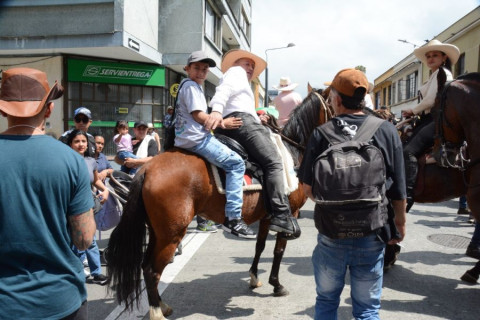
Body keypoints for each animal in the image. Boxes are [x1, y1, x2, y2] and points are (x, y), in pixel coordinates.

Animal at [106, 91, 332, 318]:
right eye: (334, 104)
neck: (292, 152)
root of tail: (147, 169)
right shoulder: (289, 214)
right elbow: (278, 251)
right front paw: (276, 285)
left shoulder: (267, 217)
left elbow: (260, 246)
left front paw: (254, 277)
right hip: (171, 234)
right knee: (152, 271)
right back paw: (157, 311)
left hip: (157, 231)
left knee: (146, 266)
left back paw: (162, 305)